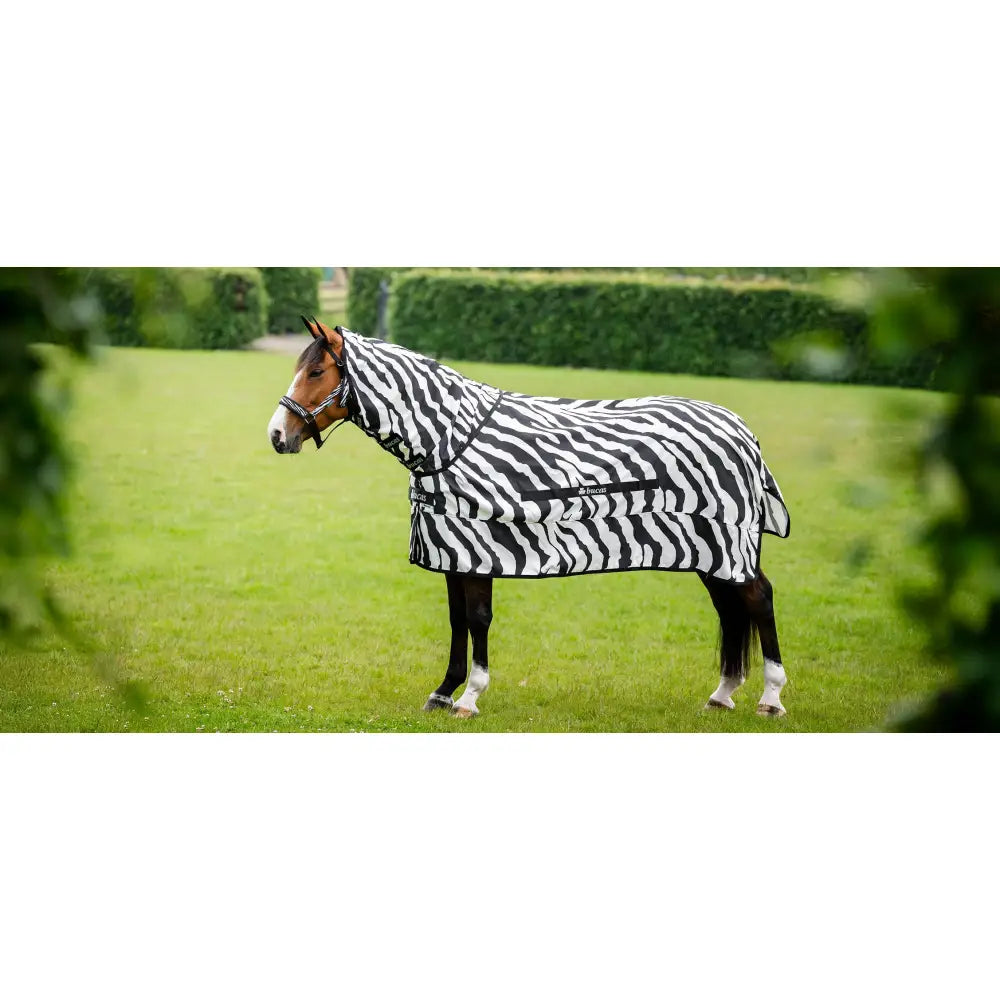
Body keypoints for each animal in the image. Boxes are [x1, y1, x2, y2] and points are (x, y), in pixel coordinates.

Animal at [268, 318, 791, 721]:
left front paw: (470, 698)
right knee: (730, 609)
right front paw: (443, 692)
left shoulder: (478, 546)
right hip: (711, 552)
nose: (277, 435)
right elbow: (457, 621)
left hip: (728, 544)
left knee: (759, 599)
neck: (450, 441)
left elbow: (477, 620)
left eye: (316, 370)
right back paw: (722, 694)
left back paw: (770, 697)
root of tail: (742, 431)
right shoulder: (452, 551)